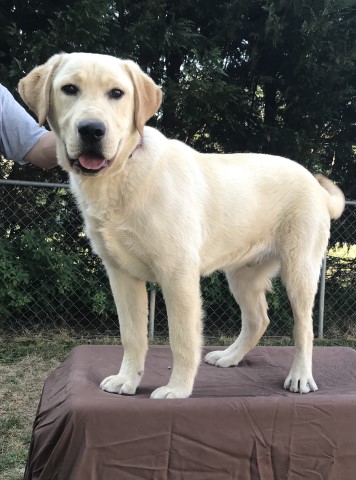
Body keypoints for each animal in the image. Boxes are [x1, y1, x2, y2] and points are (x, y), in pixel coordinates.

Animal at [19, 51, 344, 398]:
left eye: (117, 93)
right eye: (69, 89)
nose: (92, 130)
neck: (122, 174)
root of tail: (314, 183)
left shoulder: (178, 274)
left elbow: (182, 339)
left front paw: (177, 389)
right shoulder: (121, 274)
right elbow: (132, 335)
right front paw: (127, 380)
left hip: (299, 271)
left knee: (304, 329)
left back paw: (300, 376)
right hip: (242, 274)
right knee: (259, 319)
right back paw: (229, 356)